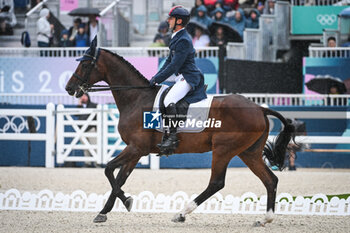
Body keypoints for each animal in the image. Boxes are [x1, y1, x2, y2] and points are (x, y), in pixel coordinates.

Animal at [65, 41, 292, 226]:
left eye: (85, 64)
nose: (69, 88)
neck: (136, 98)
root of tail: (259, 108)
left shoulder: (135, 148)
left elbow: (108, 169)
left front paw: (119, 204)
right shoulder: (137, 150)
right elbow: (119, 177)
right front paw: (110, 209)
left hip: (224, 150)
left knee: (216, 183)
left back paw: (182, 213)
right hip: (248, 152)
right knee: (270, 180)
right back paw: (265, 219)